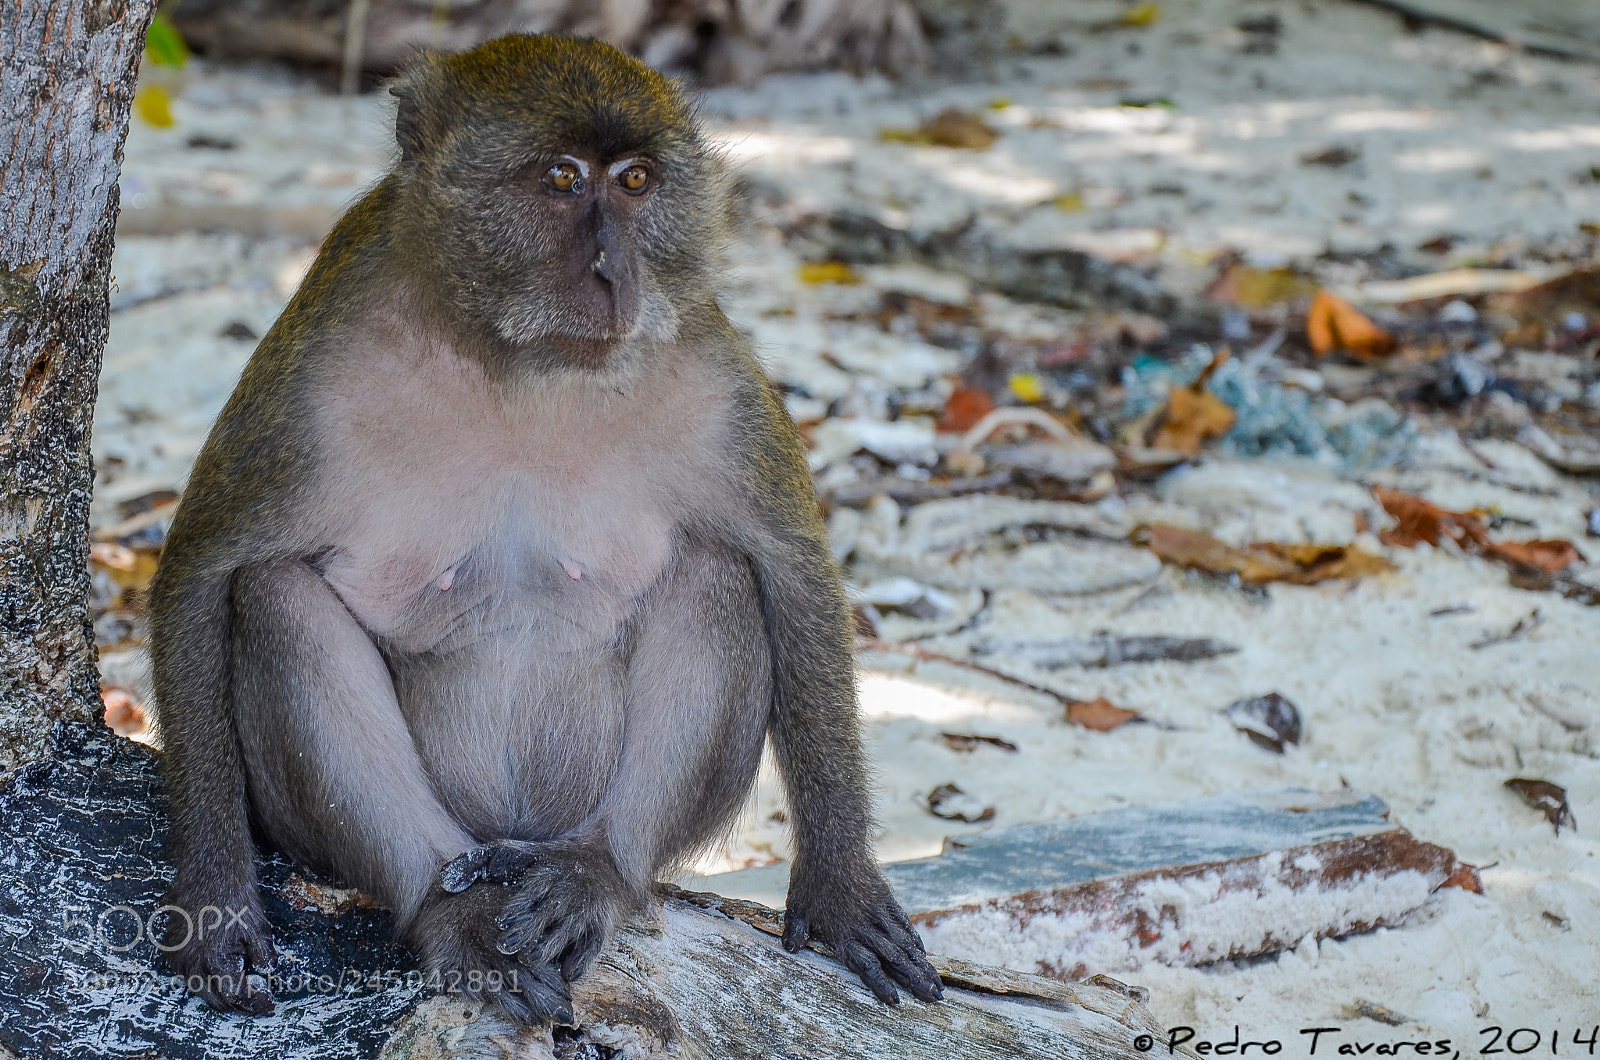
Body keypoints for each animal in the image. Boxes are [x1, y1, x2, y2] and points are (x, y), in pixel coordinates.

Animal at [147, 34, 943, 1025]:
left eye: (635, 181)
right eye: (563, 178)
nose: (612, 272)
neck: (519, 361)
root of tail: (511, 836)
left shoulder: (710, 372)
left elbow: (790, 569)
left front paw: (840, 887)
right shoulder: (310, 370)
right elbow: (203, 570)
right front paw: (218, 898)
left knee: (718, 575)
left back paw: (596, 871)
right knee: (274, 595)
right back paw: (447, 907)